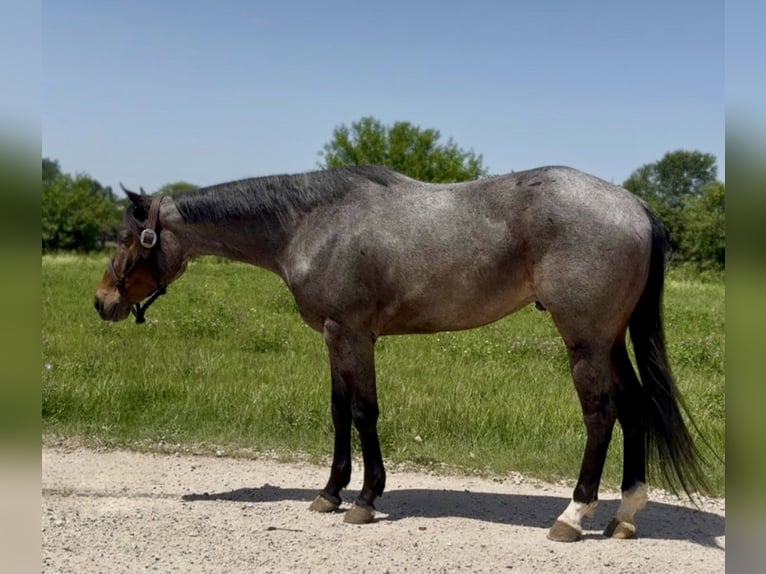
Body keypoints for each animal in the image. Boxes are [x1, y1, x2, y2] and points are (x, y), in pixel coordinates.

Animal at [94, 164, 709, 541]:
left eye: (127, 239)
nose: (102, 302)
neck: (312, 224)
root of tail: (635, 205)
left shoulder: (352, 334)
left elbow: (364, 413)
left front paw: (365, 500)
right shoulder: (334, 336)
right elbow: (339, 412)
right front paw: (329, 493)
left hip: (584, 340)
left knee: (602, 414)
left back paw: (574, 515)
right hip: (609, 339)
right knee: (634, 407)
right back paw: (624, 516)